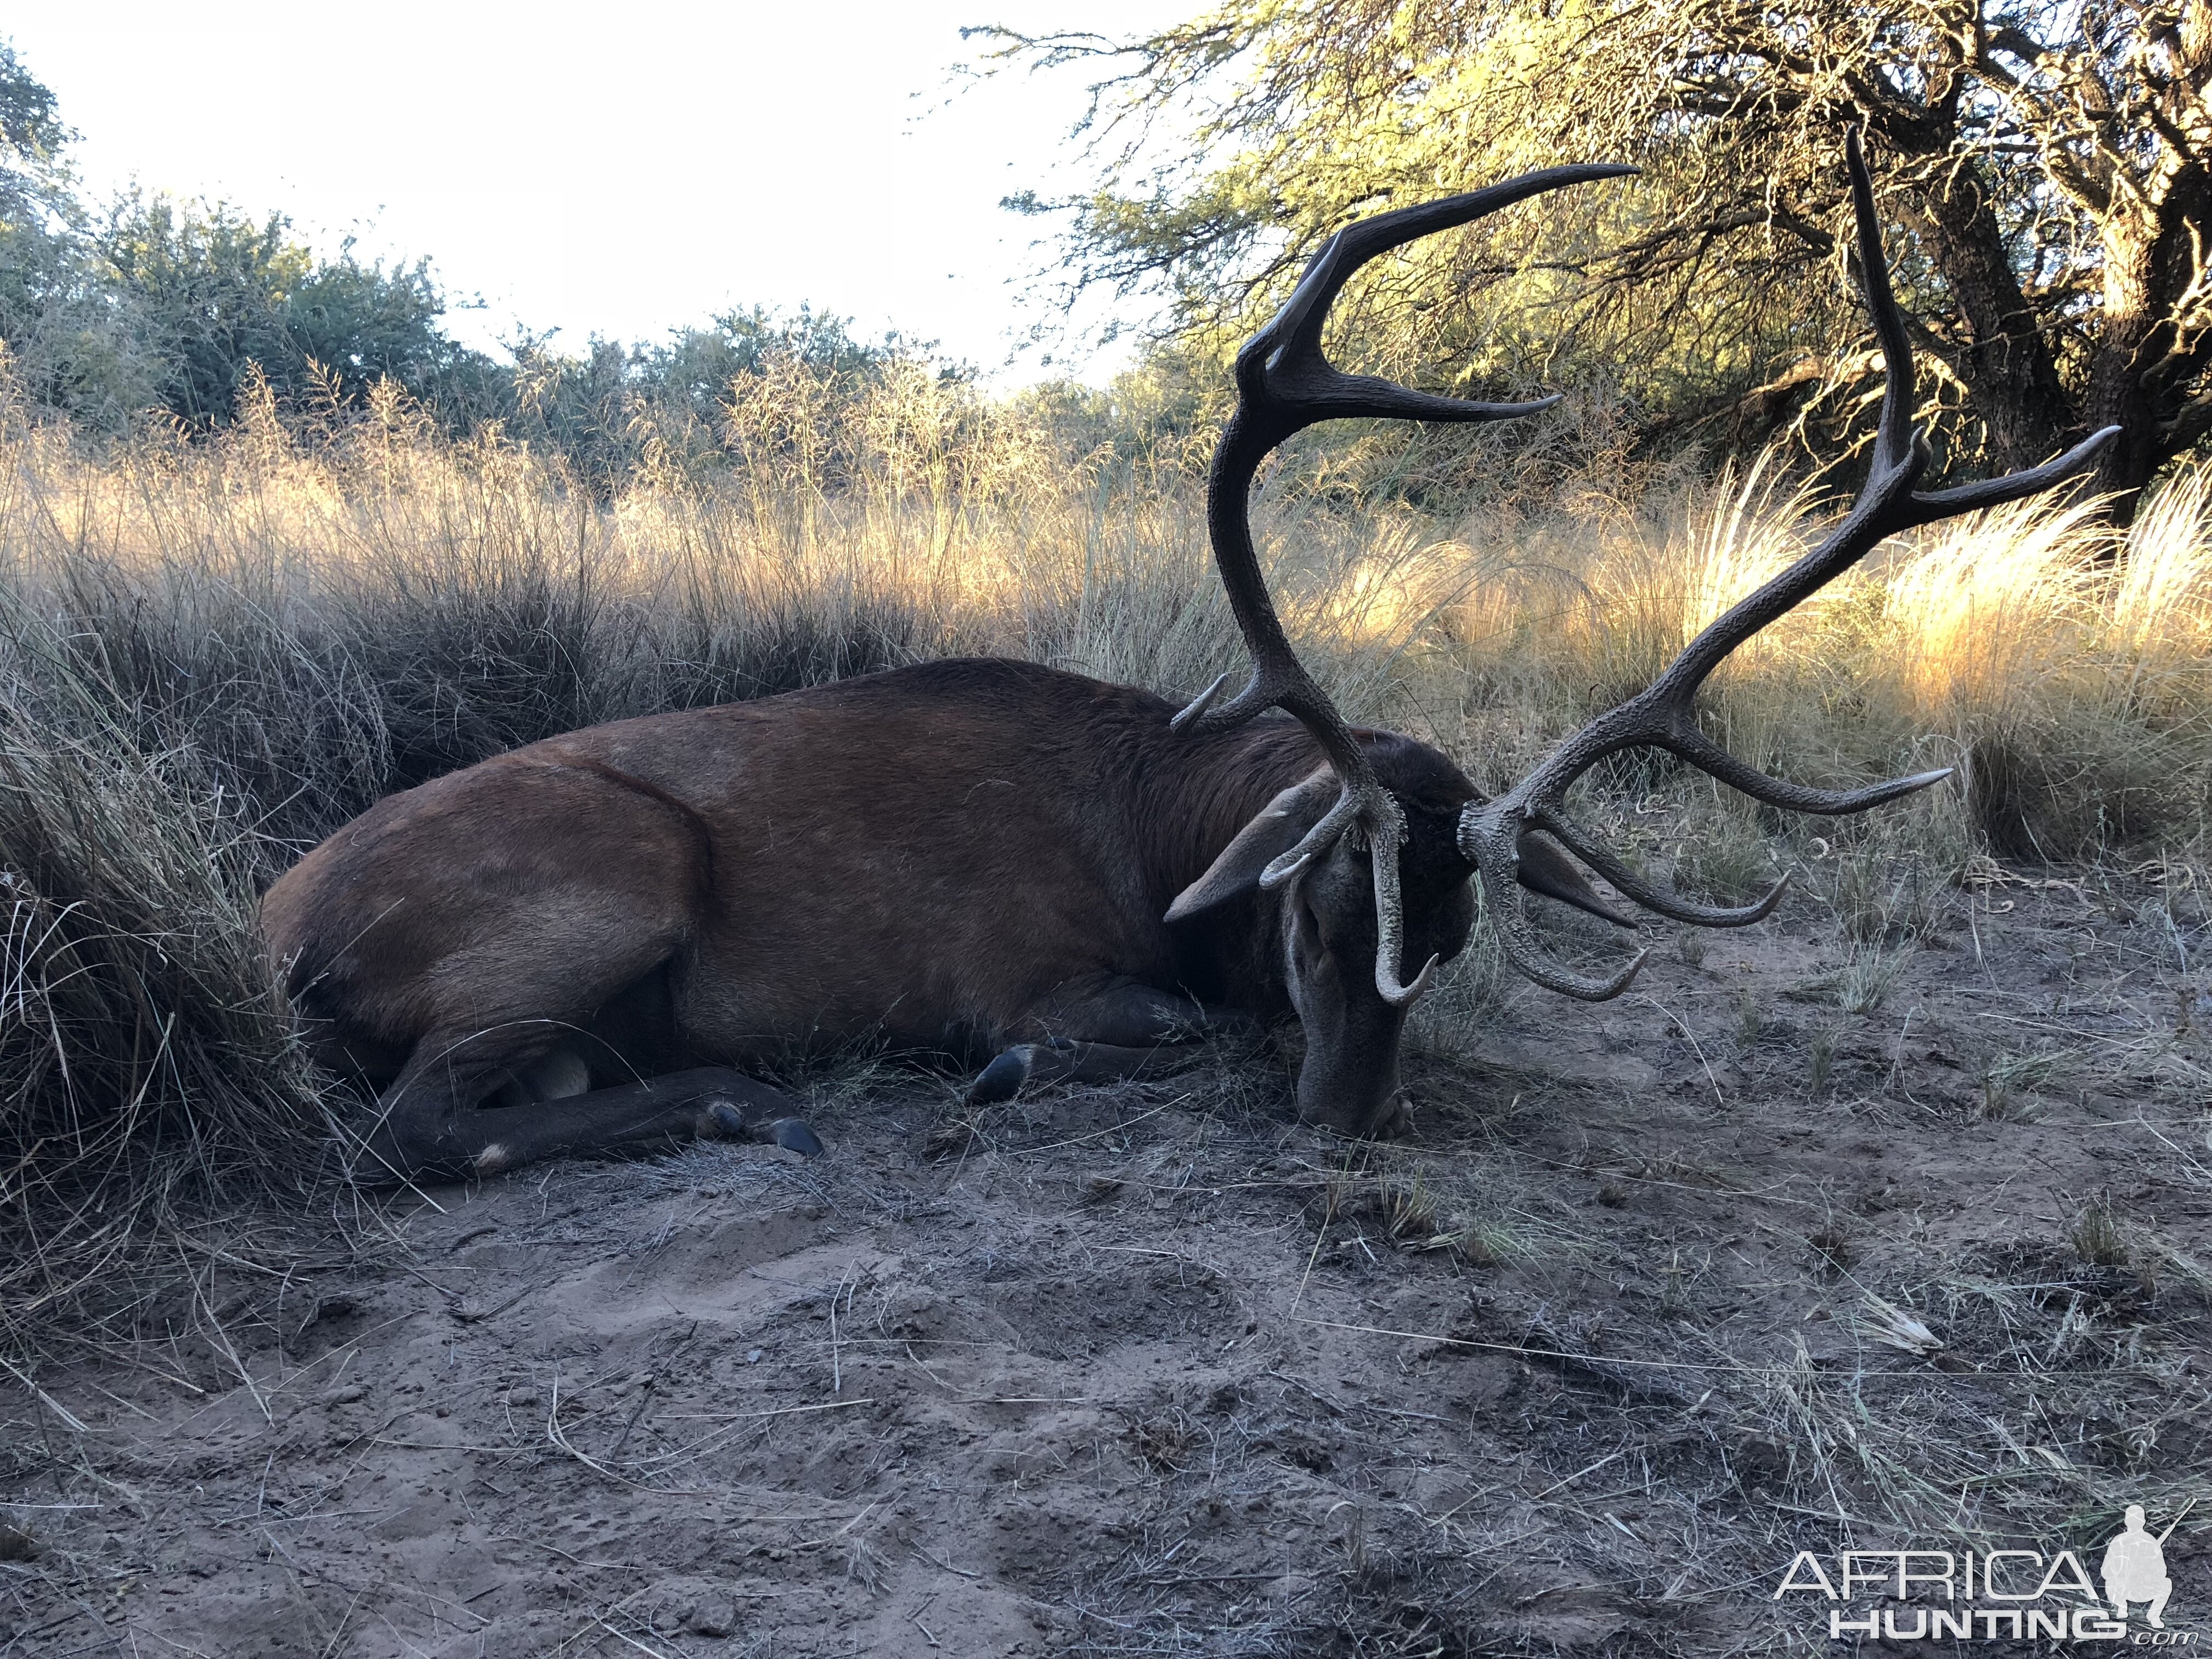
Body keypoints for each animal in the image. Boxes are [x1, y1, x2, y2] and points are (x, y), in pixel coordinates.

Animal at [267, 136, 2114, 1186]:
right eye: (1306, 919)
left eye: (1451, 941)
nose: (1342, 1122)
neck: (1156, 824)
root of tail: (282, 925)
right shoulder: (1015, 967)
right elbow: (1109, 1026)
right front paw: (1008, 1074)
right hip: (610, 874)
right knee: (402, 1127)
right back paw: (747, 1102)